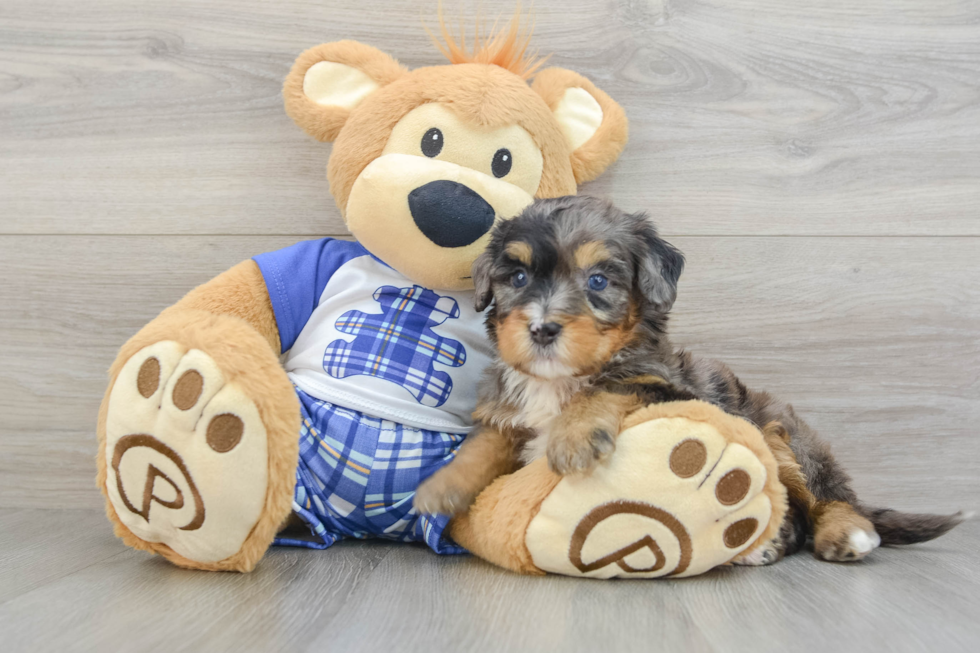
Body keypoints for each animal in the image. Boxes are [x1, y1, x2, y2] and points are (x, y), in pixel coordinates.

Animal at [416, 196, 964, 564]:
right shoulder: (507, 414)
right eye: (518, 278)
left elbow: (610, 385)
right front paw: (440, 488)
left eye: (598, 281)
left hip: (785, 436)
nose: (542, 328)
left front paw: (572, 437)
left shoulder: (666, 386)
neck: (559, 382)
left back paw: (841, 536)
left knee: (828, 498)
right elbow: (484, 443)